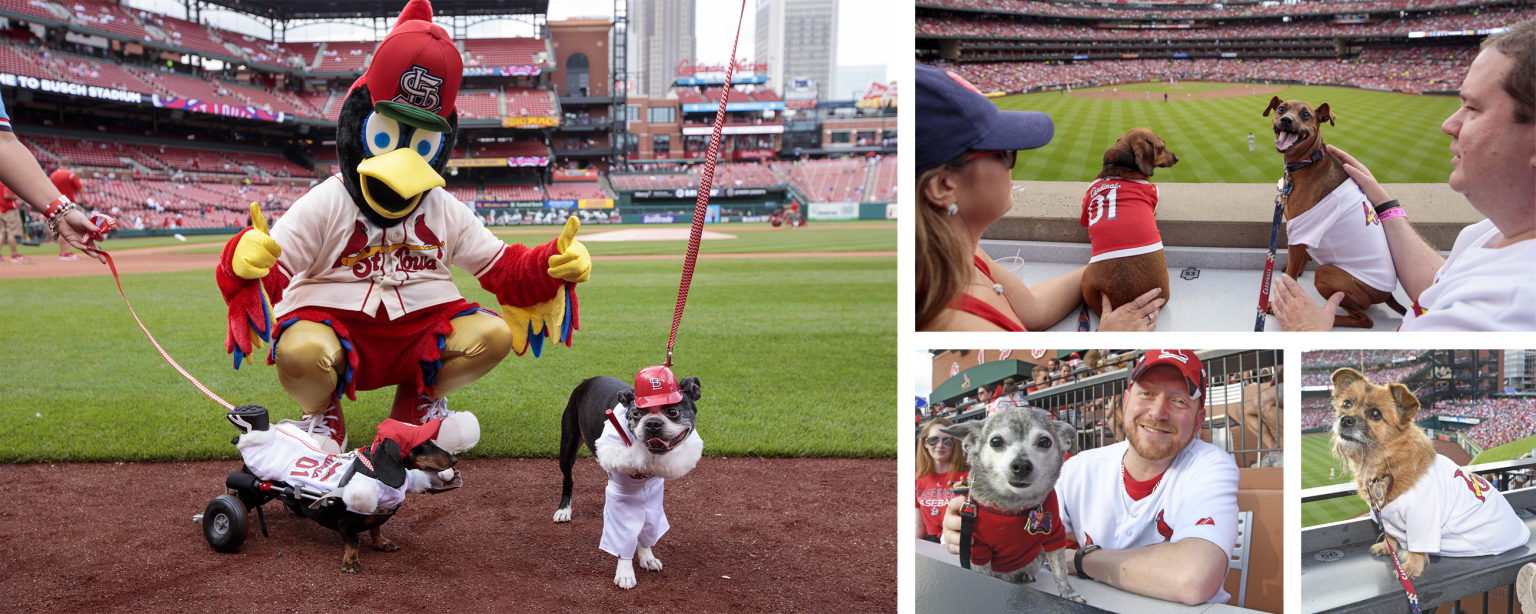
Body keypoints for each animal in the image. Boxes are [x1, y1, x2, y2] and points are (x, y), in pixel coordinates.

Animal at [1259, 97, 1406, 325]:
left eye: (1306, 114)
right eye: (1281, 109)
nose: (1286, 120)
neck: (1307, 162)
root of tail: (1388, 293)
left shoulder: (1299, 231)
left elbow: (1291, 273)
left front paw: (1277, 303)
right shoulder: (1303, 231)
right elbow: (1300, 261)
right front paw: (1300, 270)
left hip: (1325, 273)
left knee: (1364, 319)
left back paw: (1325, 316)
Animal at [1333, 366, 1437, 577]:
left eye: (1375, 413)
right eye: (1346, 404)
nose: (1345, 419)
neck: (1388, 462)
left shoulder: (1421, 518)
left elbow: (1418, 545)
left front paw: (1411, 567)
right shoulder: (1386, 515)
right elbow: (1390, 534)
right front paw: (1386, 546)